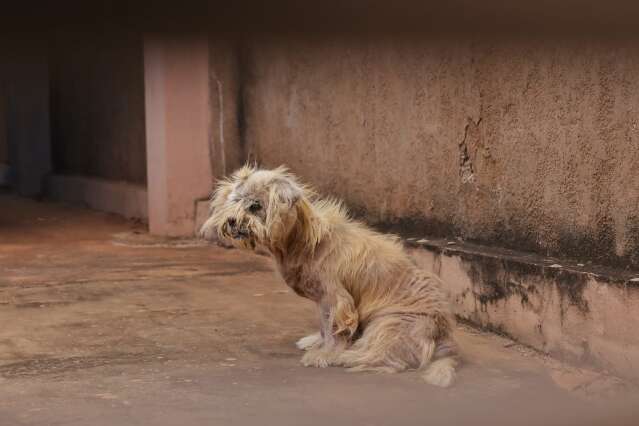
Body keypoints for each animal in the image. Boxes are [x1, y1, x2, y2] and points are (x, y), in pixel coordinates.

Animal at [200, 166, 460, 386]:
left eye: (255, 206)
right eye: (235, 201)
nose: (231, 221)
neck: (305, 241)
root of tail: (446, 342)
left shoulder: (337, 299)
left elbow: (335, 330)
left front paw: (325, 354)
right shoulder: (322, 300)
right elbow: (325, 327)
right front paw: (317, 342)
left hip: (389, 324)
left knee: (383, 356)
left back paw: (347, 356)